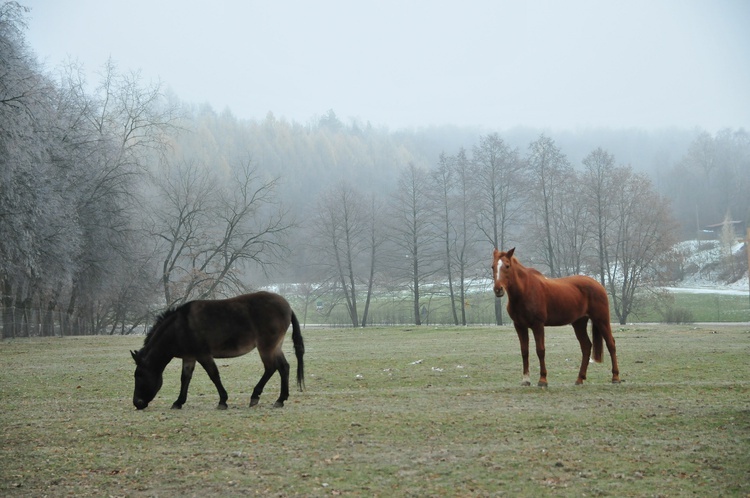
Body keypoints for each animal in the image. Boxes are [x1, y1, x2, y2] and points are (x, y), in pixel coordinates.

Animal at [131, 290, 304, 410]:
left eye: (139, 375)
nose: (137, 403)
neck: (180, 327)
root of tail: (288, 306)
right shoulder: (189, 357)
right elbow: (185, 378)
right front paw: (178, 402)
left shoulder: (203, 355)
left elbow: (213, 375)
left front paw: (222, 401)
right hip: (276, 347)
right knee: (283, 367)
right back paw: (280, 399)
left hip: (266, 347)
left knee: (271, 368)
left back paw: (255, 396)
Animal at [494, 248, 624, 386]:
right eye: (492, 267)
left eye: (507, 266)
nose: (498, 289)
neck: (525, 291)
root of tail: (598, 285)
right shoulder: (519, 326)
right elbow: (524, 351)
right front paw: (526, 380)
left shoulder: (538, 325)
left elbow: (540, 350)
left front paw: (543, 380)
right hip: (579, 323)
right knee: (586, 346)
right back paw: (579, 378)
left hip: (601, 320)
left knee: (611, 344)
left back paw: (615, 377)